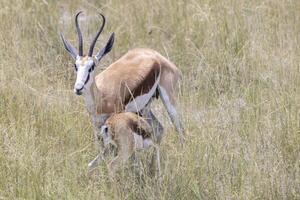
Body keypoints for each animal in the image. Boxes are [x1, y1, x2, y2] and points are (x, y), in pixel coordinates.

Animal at [59, 11, 184, 155]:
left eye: (92, 66)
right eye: (76, 65)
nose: (78, 88)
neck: (101, 97)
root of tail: (157, 56)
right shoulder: (97, 125)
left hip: (169, 103)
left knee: (179, 128)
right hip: (144, 108)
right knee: (159, 129)